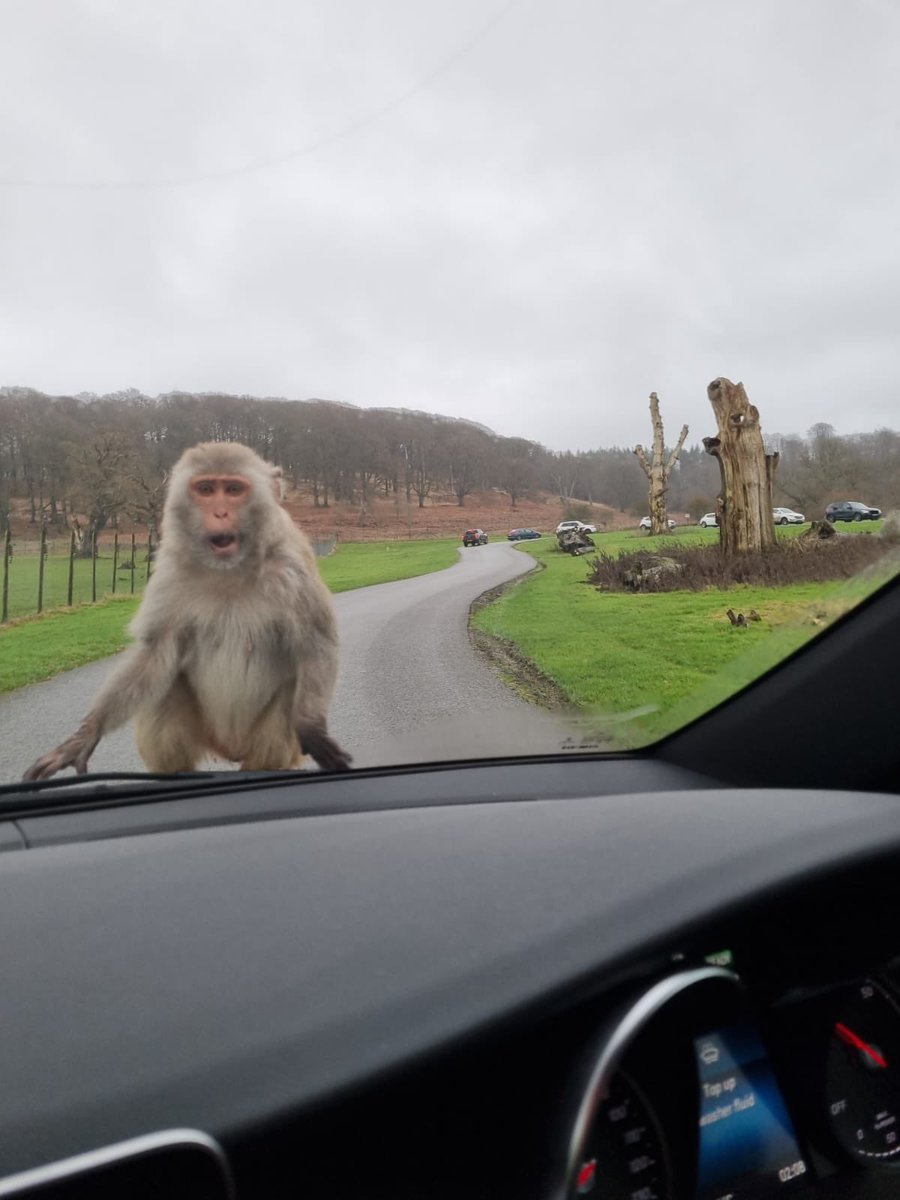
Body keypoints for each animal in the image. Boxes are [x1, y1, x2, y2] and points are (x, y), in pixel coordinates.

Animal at [24, 442, 351, 780]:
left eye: (233, 489)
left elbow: (315, 642)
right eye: (206, 489)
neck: (229, 570)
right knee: (163, 686)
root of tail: (230, 750)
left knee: (287, 697)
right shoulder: (171, 569)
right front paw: (86, 734)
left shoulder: (292, 566)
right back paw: (174, 774)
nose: (219, 512)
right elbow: (155, 649)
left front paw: (311, 727)